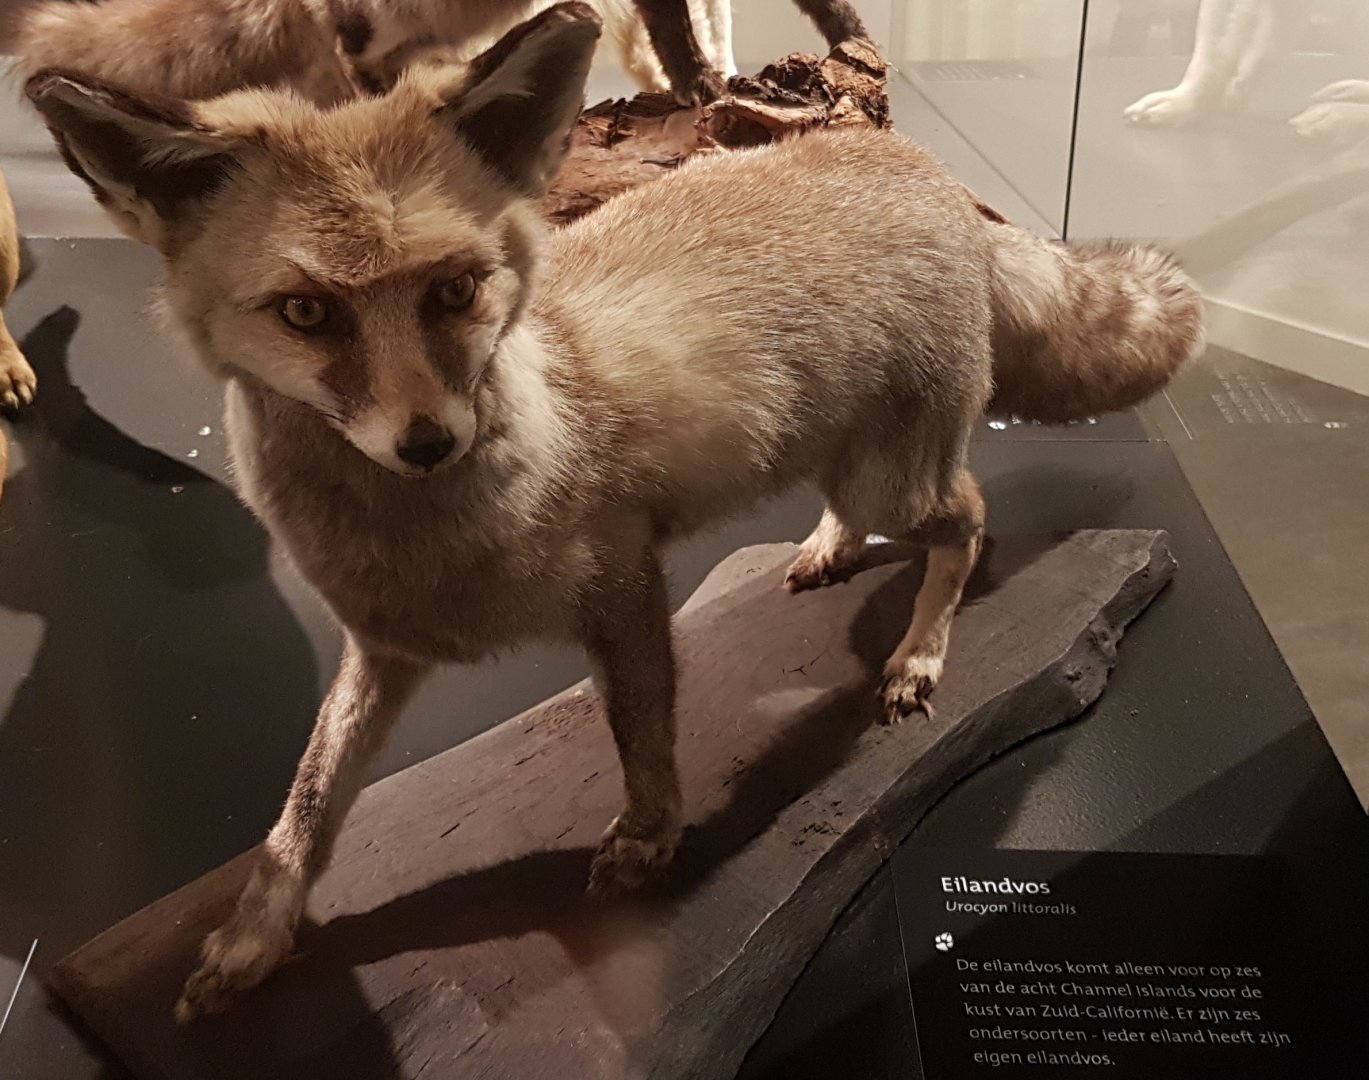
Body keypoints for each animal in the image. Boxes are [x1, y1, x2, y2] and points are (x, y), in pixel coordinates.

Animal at [27, 1, 1203, 1022]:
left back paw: (918, 656)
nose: (428, 443)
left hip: (896, 478)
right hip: (845, 457)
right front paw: (252, 939)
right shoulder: (382, 649)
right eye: (308, 313)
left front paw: (651, 839)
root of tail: (920, 169)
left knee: (967, 518)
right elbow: (304, 810)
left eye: (454, 292)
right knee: (881, 512)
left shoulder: (625, 587)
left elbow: (640, 735)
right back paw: (827, 549)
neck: (428, 539)